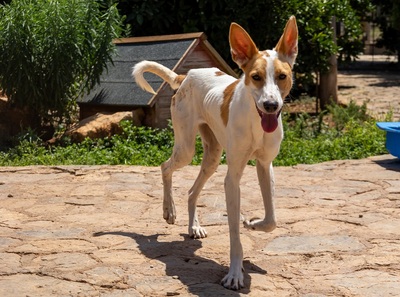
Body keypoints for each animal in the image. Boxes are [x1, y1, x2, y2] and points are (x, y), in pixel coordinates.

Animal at [133, 16, 298, 290]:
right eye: (256, 77)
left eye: (282, 76)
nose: (271, 105)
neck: (255, 120)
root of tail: (185, 75)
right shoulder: (232, 179)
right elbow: (234, 235)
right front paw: (234, 274)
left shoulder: (265, 165)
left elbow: (271, 220)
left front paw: (252, 223)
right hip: (186, 149)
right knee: (165, 167)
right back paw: (169, 211)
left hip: (212, 157)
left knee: (191, 192)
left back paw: (194, 226)